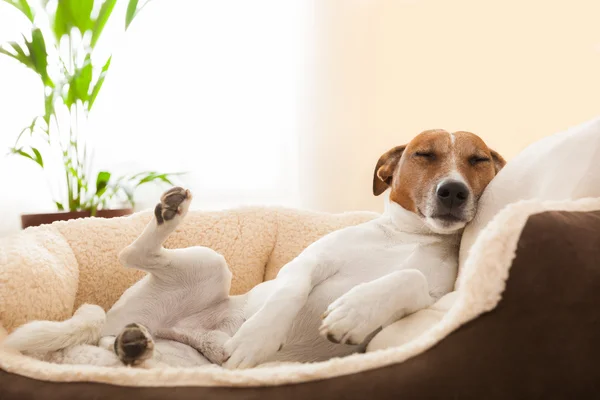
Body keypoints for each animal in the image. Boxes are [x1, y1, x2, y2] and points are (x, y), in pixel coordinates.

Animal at [4, 130, 504, 368]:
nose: (453, 192)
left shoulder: (436, 294)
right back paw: (169, 213)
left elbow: (409, 277)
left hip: (179, 350)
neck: (408, 237)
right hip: (212, 263)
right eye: (424, 154)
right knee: (132, 255)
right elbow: (289, 291)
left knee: (129, 342)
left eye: (478, 160)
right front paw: (259, 337)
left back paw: (132, 348)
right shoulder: (306, 262)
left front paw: (355, 313)